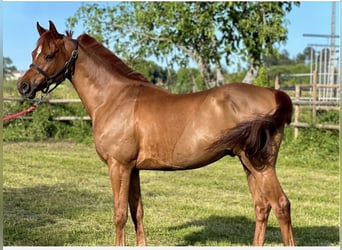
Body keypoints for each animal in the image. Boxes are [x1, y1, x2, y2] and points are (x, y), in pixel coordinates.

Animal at [17, 21, 294, 246]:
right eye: (33, 53)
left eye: (49, 55)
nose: (24, 86)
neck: (114, 98)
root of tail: (273, 93)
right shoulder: (133, 169)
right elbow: (136, 212)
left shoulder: (118, 166)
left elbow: (119, 215)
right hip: (248, 164)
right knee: (262, 207)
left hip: (261, 166)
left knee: (281, 205)